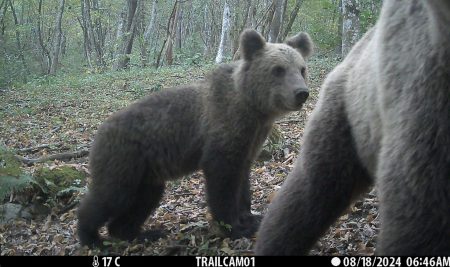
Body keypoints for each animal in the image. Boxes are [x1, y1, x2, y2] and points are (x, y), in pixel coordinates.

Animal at [77, 28, 312, 247]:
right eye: (278, 69)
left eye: (301, 69)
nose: (301, 93)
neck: (253, 108)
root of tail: (99, 132)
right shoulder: (223, 130)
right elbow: (222, 179)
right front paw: (233, 226)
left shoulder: (251, 141)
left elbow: (243, 179)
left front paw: (250, 217)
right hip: (124, 158)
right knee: (110, 195)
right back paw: (91, 237)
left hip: (147, 173)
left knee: (143, 200)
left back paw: (141, 233)